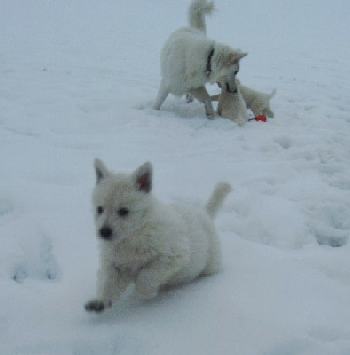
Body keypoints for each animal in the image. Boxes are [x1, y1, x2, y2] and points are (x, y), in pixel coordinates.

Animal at [85, 160, 231, 312]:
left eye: (124, 211)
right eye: (99, 209)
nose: (104, 232)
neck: (133, 236)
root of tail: (204, 212)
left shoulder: (172, 257)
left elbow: (145, 277)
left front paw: (148, 293)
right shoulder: (113, 264)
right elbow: (107, 283)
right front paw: (100, 301)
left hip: (212, 262)